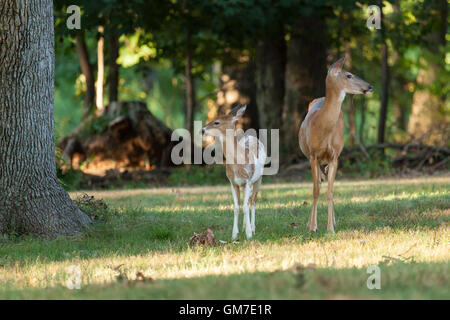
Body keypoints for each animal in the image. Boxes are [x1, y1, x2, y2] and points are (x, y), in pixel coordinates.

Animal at [201, 105, 268, 240]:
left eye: (216, 122)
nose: (202, 130)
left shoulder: (248, 180)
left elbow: (246, 206)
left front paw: (249, 235)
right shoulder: (233, 182)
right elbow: (237, 207)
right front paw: (234, 235)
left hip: (259, 178)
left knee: (253, 201)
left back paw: (252, 228)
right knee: (247, 201)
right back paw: (244, 226)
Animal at [298, 57, 372, 232]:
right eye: (349, 75)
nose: (370, 86)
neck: (322, 126)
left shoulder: (334, 157)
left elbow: (330, 192)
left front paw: (330, 228)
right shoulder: (313, 156)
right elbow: (316, 190)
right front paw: (313, 227)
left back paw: (332, 221)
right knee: (318, 183)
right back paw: (310, 223)